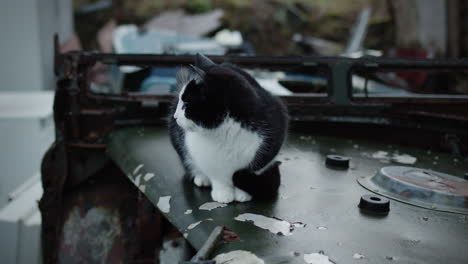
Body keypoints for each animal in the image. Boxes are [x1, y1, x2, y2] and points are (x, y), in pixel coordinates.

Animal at [168, 53, 286, 202]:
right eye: (180, 101)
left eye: (186, 103)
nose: (175, 116)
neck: (226, 129)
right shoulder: (204, 155)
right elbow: (217, 175)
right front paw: (223, 193)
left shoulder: (272, 135)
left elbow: (250, 169)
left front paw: (242, 193)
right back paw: (202, 178)